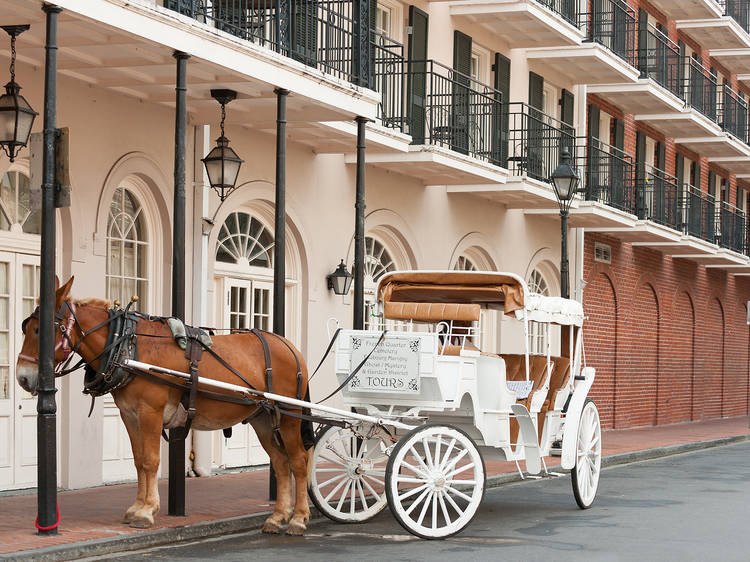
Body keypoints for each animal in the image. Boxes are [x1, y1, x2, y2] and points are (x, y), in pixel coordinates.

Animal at [15, 276, 314, 532]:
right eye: (25, 328)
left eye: (40, 330)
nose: (22, 377)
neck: (127, 346)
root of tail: (291, 348)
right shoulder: (129, 414)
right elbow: (138, 460)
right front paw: (137, 507)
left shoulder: (150, 412)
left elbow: (150, 460)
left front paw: (147, 511)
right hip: (262, 418)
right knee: (280, 462)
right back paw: (277, 517)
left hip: (289, 415)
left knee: (298, 461)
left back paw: (298, 518)